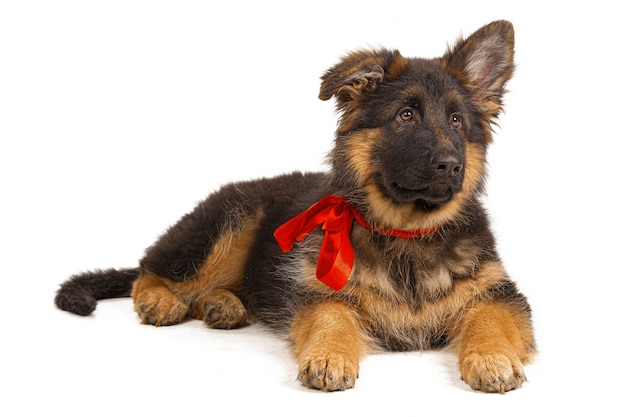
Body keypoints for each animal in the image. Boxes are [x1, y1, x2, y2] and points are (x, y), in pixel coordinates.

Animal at [54, 21, 532, 392]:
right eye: (405, 115)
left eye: (456, 121)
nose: (450, 166)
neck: (405, 231)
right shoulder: (319, 294)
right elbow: (332, 317)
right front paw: (330, 357)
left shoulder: (501, 295)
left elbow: (488, 318)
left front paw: (492, 359)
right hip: (231, 223)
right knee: (149, 268)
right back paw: (162, 300)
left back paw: (223, 305)